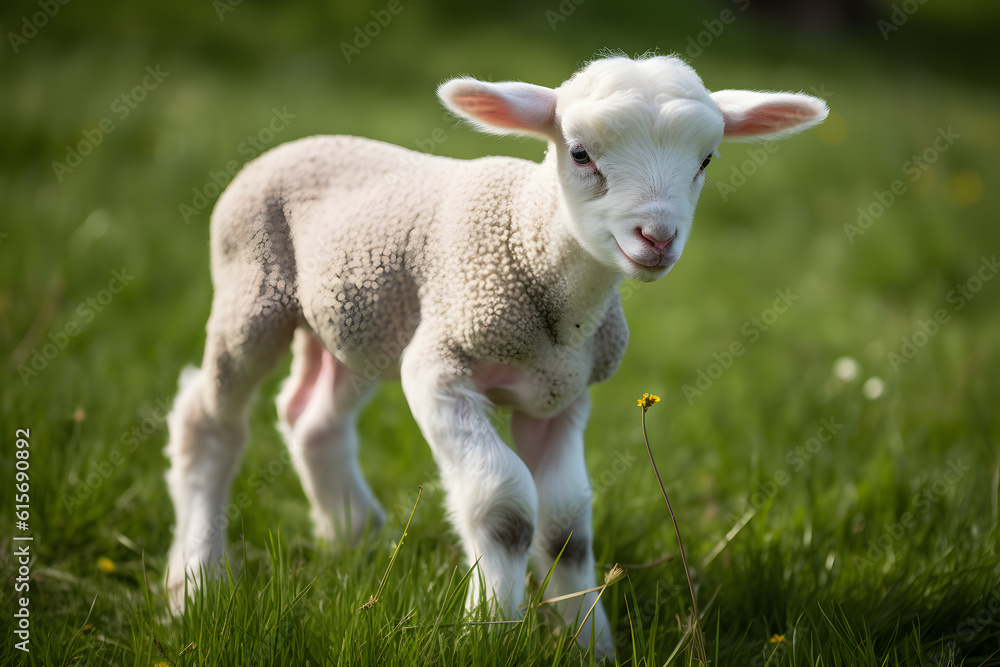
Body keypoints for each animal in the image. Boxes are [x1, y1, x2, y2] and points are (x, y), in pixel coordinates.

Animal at [164, 53, 828, 657]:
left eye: (706, 160)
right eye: (580, 154)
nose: (657, 238)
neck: (533, 246)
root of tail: (306, 139)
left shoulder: (562, 395)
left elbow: (566, 528)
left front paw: (589, 644)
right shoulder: (439, 369)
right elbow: (505, 509)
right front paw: (487, 632)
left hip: (360, 319)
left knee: (313, 419)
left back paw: (354, 540)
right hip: (252, 288)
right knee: (209, 423)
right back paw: (195, 584)